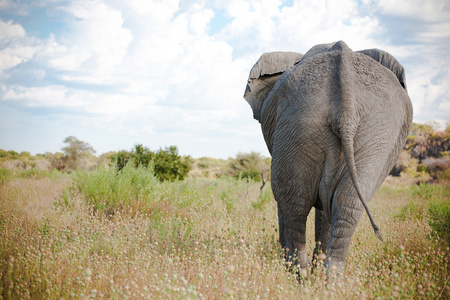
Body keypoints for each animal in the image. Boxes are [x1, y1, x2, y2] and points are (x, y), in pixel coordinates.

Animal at [244, 40, 414, 274]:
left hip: (302, 124)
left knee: (295, 202)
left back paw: (300, 275)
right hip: (372, 130)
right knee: (345, 205)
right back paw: (325, 277)